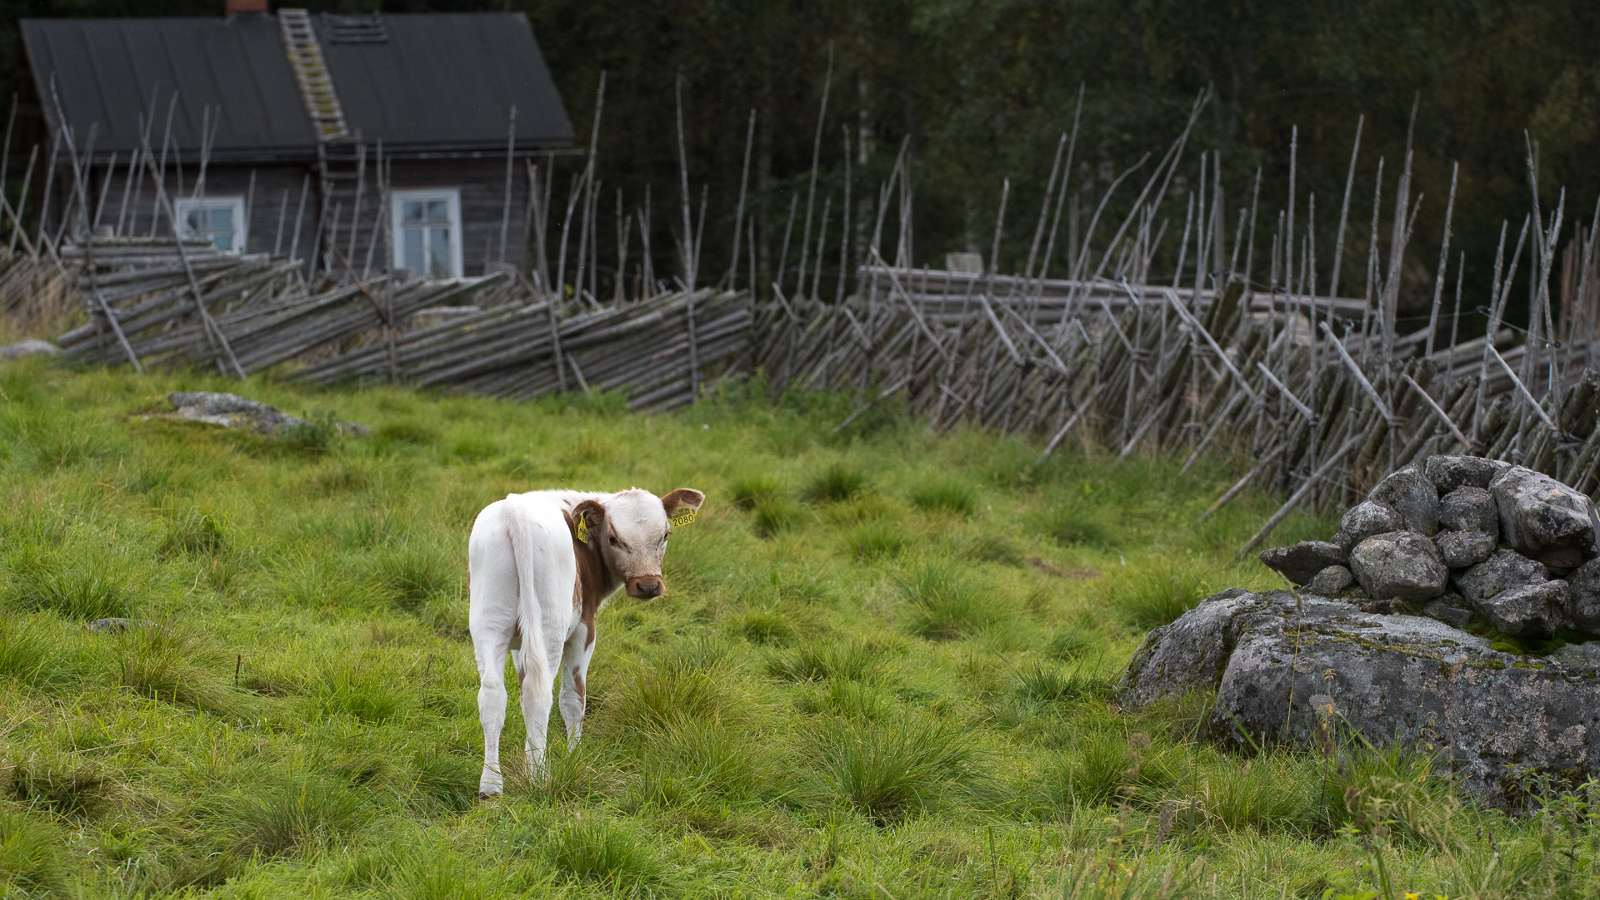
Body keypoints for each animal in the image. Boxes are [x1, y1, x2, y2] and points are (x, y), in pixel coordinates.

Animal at [467, 483, 707, 791]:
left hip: (489, 623)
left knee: (493, 695)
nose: (648, 585)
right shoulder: (584, 629)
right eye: (614, 539)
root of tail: (514, 509)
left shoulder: (519, 644)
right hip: (549, 628)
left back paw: (491, 785)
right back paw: (539, 778)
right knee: (539, 694)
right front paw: (573, 760)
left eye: (665, 535)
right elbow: (573, 700)